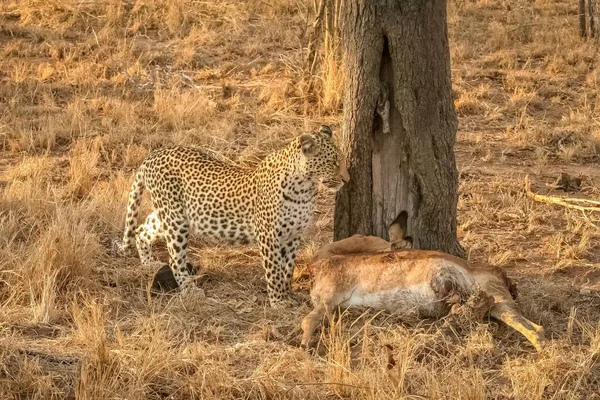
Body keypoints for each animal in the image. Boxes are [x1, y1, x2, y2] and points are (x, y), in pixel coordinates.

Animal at [114, 125, 350, 306]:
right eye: (333, 162)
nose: (347, 180)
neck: (305, 188)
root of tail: (152, 155)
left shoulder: (293, 235)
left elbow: (287, 268)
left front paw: (288, 293)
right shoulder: (269, 236)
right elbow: (274, 269)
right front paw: (278, 301)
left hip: (173, 215)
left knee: (142, 229)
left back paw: (148, 263)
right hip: (175, 220)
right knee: (174, 258)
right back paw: (189, 290)